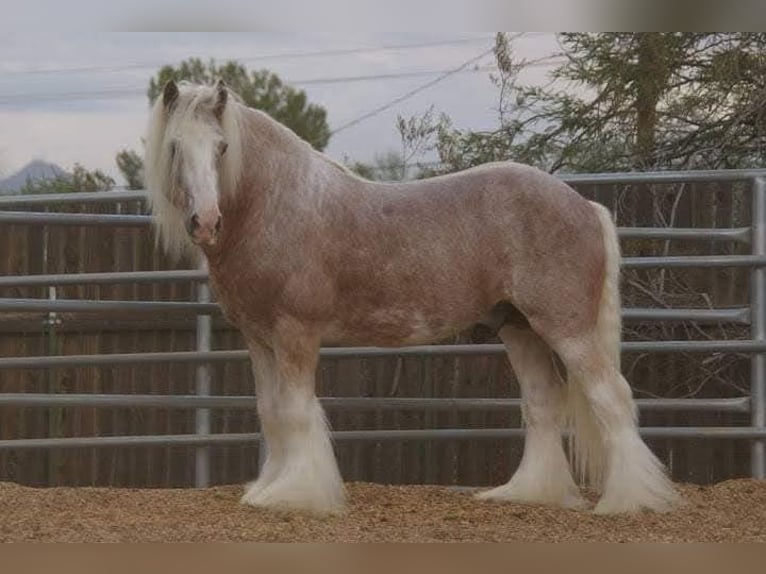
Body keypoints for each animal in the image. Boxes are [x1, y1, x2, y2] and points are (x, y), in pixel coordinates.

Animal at [144, 79, 680, 516]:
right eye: (174, 147)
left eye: (222, 147)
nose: (205, 222)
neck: (279, 205)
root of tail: (585, 205)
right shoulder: (258, 339)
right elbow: (271, 412)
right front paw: (266, 490)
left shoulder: (297, 334)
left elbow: (296, 411)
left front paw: (297, 496)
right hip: (519, 328)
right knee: (542, 404)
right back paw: (528, 493)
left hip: (567, 328)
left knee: (611, 397)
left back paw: (631, 501)